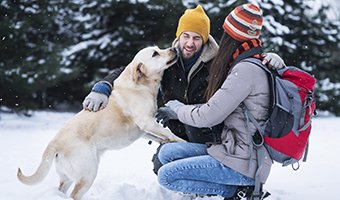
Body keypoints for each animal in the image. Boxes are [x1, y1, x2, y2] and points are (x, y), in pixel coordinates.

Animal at [17, 46, 185, 199]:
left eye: (158, 48)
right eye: (155, 54)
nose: (174, 48)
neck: (141, 86)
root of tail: (54, 143)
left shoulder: (143, 130)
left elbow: (158, 136)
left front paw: (165, 141)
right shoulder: (146, 122)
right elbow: (169, 133)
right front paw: (181, 142)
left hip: (68, 177)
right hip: (88, 174)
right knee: (74, 195)